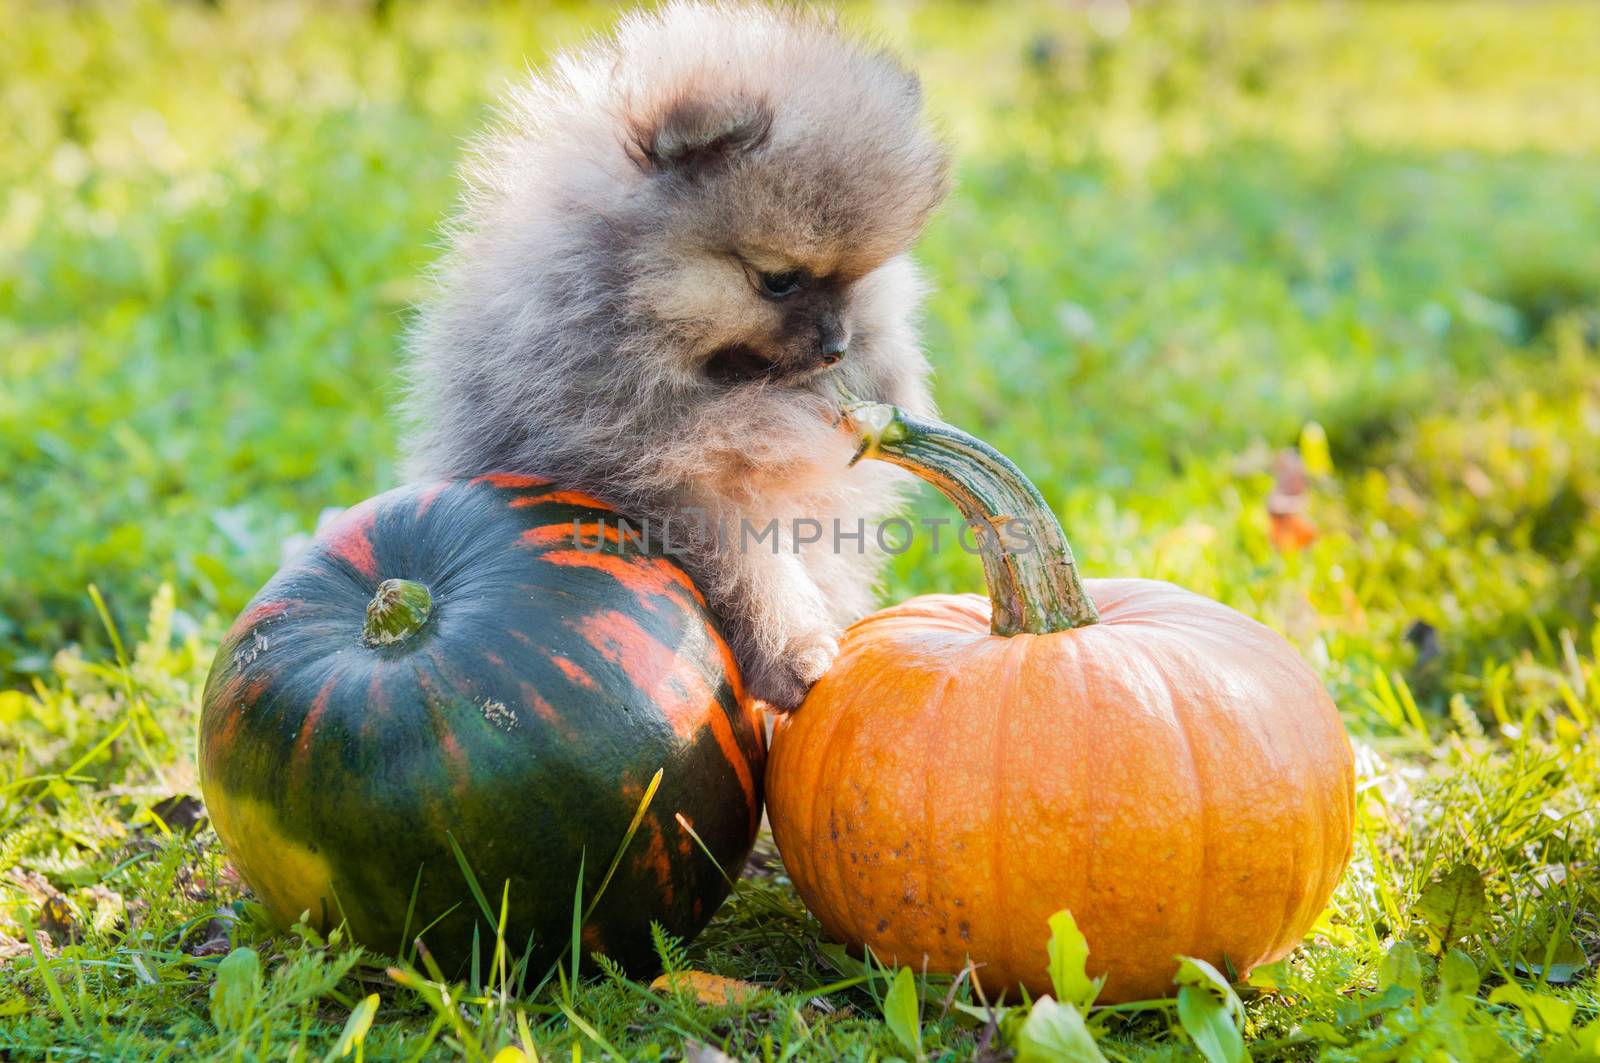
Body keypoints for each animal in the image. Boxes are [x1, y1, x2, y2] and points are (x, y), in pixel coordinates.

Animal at [403, 6, 947, 714]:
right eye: (778, 281)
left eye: (855, 278)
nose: (835, 349)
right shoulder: (661, 474)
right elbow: (750, 565)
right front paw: (793, 653)